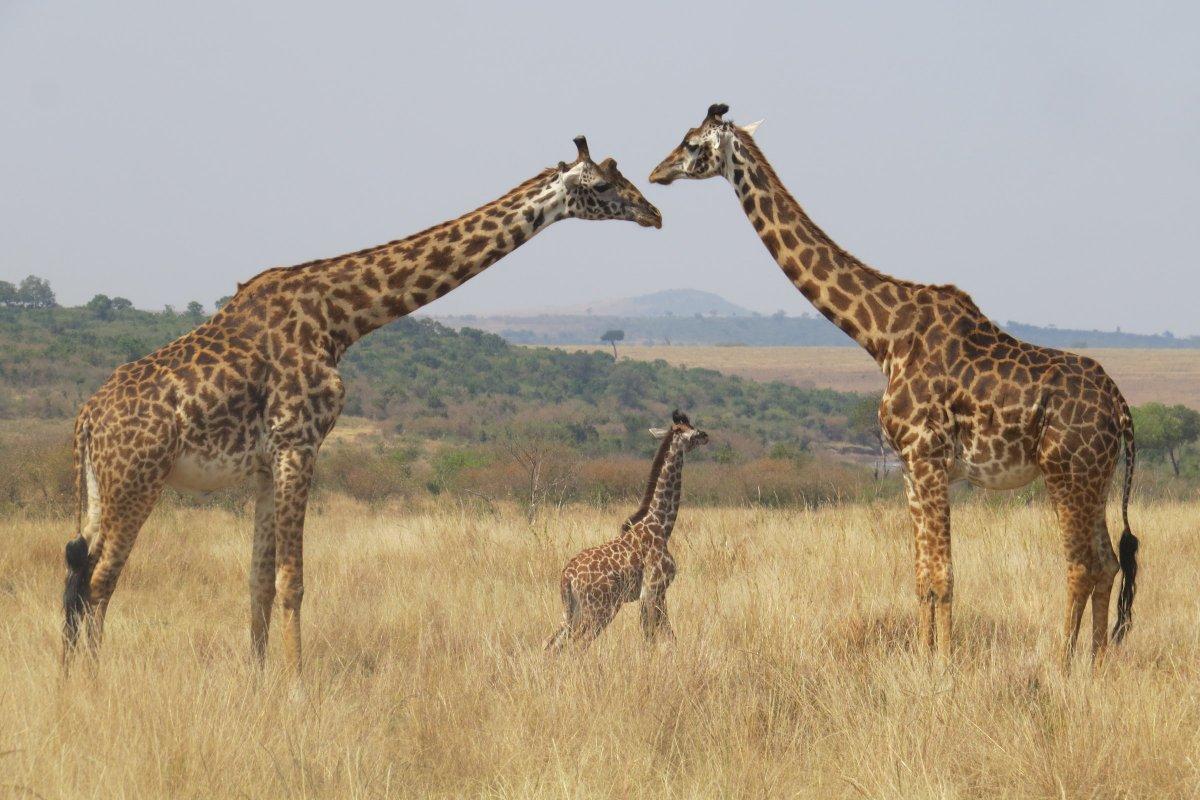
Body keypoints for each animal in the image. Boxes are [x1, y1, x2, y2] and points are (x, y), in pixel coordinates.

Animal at [63, 134, 667, 671]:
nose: (654, 212)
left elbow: (259, 581)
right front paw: (296, 689)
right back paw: (95, 683)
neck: (341, 316)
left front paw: (258, 682)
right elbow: (292, 581)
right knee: (100, 581)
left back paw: (71, 679)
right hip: (137, 481)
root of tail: (87, 421)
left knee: (75, 569)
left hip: (97, 489)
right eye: (603, 184)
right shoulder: (299, 443)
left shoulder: (265, 463)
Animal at [547, 412, 705, 652]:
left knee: (551, 644)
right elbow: (662, 636)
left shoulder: (649, 594)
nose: (706, 435)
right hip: (600, 609)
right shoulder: (655, 589)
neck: (662, 524)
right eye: (692, 431)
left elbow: (652, 635)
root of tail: (567, 576)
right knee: (577, 645)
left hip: (572, 611)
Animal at [652, 107, 1137, 671]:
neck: (883, 335)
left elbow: (944, 576)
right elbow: (922, 575)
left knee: (1081, 564)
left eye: (691, 144)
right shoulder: (909, 464)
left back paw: (1061, 664)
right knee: (1108, 562)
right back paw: (1097, 663)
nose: (657, 172)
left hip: (1067, 472)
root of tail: (1121, 408)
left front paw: (945, 665)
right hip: (1096, 477)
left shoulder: (928, 456)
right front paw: (924, 659)